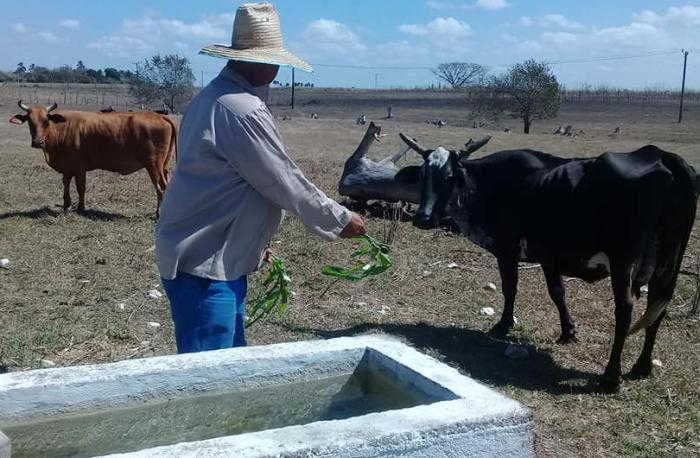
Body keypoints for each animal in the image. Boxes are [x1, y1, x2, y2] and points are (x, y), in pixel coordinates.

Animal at [9, 101, 176, 216]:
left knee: (161, 187)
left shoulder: (79, 168)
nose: (38, 142)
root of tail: (160, 115)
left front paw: (81, 208)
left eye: (46, 121)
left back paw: (159, 214)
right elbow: (66, 184)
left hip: (153, 166)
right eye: (30, 122)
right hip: (164, 166)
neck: (62, 129)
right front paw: (66, 205)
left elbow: (80, 187)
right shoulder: (67, 168)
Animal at [396, 131, 696, 390]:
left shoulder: (508, 250)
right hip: (669, 265)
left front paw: (503, 325)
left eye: (449, 177)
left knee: (625, 311)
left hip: (624, 264)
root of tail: (662, 156)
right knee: (658, 307)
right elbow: (558, 293)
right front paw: (568, 332)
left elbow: (511, 289)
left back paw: (611, 377)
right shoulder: (549, 258)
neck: (490, 184)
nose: (422, 218)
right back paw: (642, 367)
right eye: (422, 175)